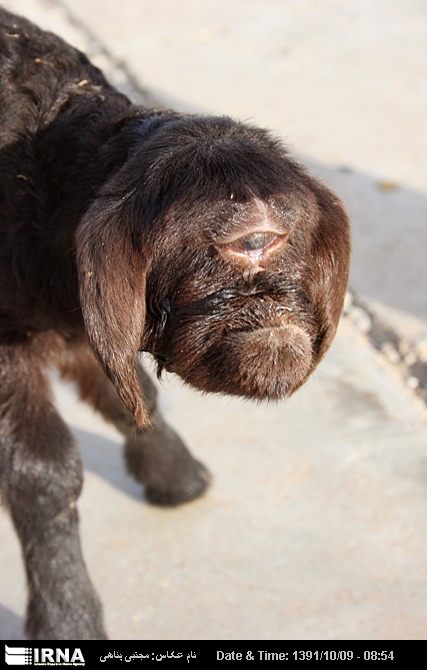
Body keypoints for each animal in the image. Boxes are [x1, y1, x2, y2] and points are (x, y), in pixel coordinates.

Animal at [0, 8, 350, 639]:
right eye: (236, 243)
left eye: (284, 235)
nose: (257, 234)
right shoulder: (8, 345)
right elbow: (45, 471)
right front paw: (69, 622)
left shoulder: (84, 332)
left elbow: (130, 399)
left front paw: (178, 479)